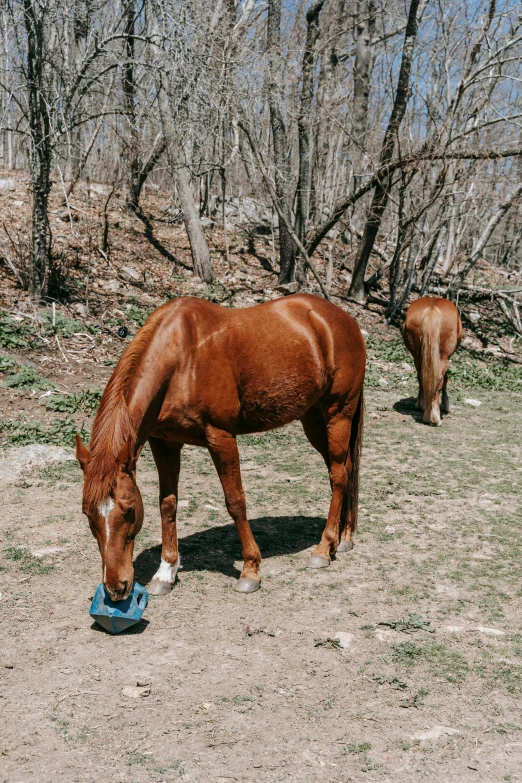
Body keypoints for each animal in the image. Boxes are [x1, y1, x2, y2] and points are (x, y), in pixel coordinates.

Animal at [75, 294, 364, 600]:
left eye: (129, 510)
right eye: (87, 513)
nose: (116, 588)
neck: (181, 357)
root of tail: (342, 318)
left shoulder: (221, 437)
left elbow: (235, 502)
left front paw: (250, 570)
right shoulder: (164, 442)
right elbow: (168, 504)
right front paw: (165, 572)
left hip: (338, 414)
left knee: (339, 476)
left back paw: (324, 548)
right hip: (313, 419)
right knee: (343, 470)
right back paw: (343, 538)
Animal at [400, 296, 462, 428]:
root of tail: (431, 309)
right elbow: (446, 379)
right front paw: (445, 405)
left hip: (418, 356)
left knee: (422, 377)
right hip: (442, 357)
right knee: (439, 380)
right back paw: (434, 418)